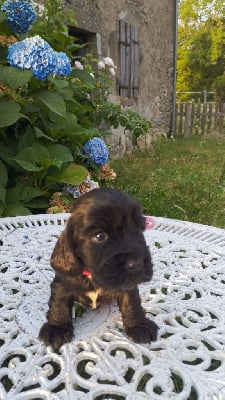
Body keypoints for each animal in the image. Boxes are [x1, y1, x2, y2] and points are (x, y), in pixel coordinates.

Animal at [38, 188, 158, 350]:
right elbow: (59, 304)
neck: (91, 275)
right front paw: (57, 328)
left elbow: (132, 303)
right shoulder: (62, 283)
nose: (137, 264)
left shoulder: (127, 285)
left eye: (139, 230)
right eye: (100, 235)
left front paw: (139, 326)